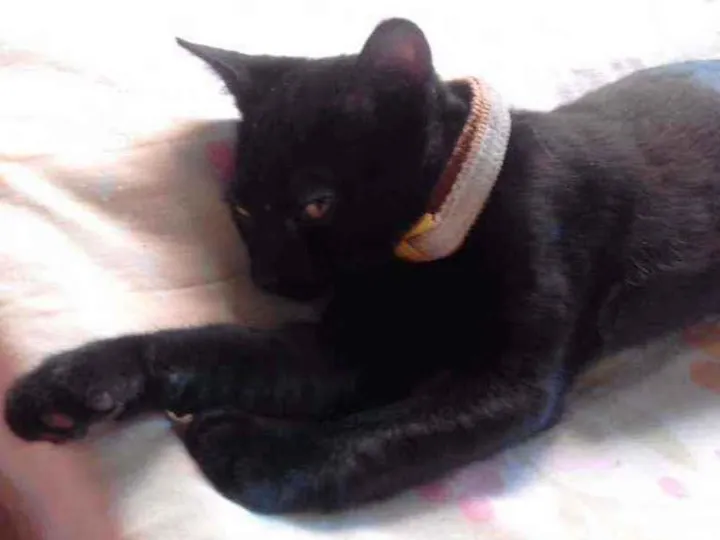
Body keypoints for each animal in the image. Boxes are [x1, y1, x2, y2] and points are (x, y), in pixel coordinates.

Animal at [5, 18, 720, 515]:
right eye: (242, 207)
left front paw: (249, 452)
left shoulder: (512, 376)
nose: (268, 277)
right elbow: (214, 348)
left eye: (316, 204)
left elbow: (387, 433)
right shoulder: (354, 345)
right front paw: (72, 385)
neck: (432, 243)